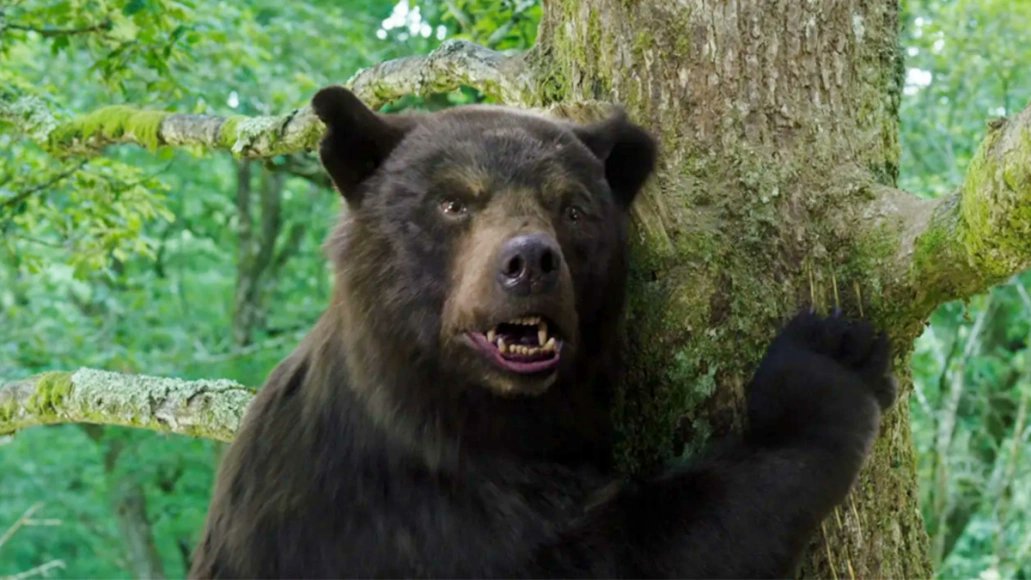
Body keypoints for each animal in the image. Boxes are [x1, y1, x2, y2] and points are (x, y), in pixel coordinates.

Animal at [188, 85, 897, 578]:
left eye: (573, 207)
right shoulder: (412, 512)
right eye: (452, 201)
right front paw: (827, 363)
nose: (530, 262)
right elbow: (640, 545)